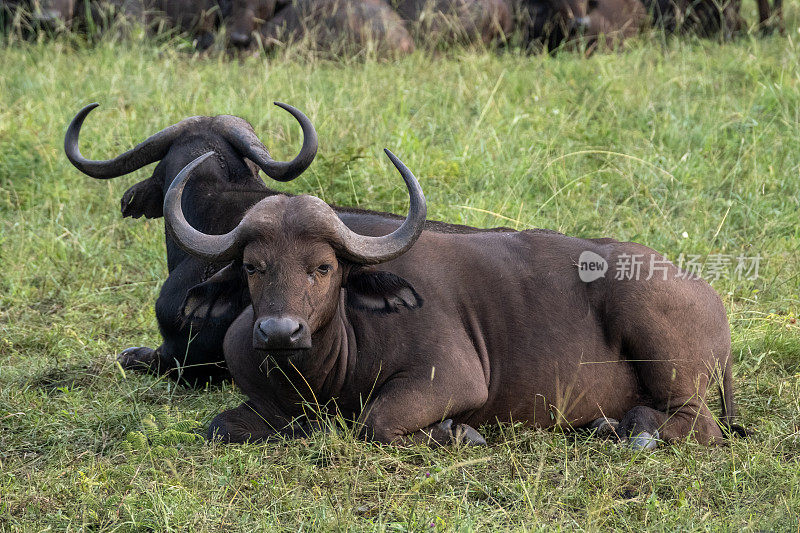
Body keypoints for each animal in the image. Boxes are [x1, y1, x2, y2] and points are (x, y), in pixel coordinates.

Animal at [167, 151, 744, 448]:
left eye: (323, 268)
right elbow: (220, 427)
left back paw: (632, 429)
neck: (325, 370)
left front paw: (457, 433)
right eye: (252, 267)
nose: (280, 332)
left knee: (699, 425)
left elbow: (375, 423)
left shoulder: (448, 379)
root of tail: (709, 297)